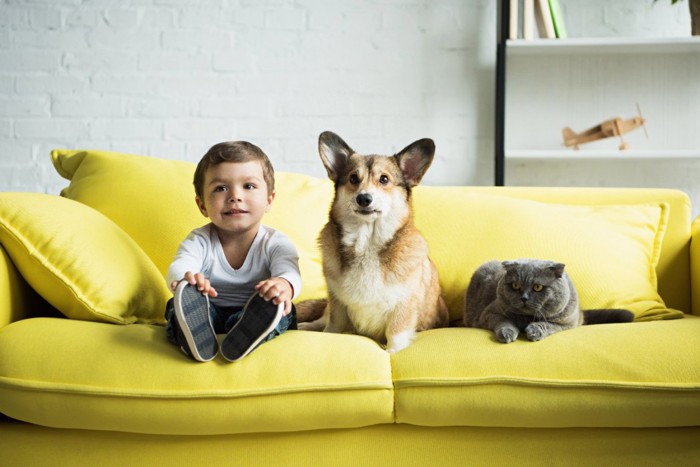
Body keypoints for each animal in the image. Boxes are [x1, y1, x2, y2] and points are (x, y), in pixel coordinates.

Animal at [300, 132, 448, 354]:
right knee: (320, 319)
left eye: (384, 179)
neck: (367, 242)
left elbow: (395, 335)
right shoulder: (337, 304)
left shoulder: (402, 306)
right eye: (353, 178)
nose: (363, 199)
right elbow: (332, 327)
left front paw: (392, 353)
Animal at [464, 260, 636, 344]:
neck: (526, 318)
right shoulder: (490, 313)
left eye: (538, 287)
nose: (524, 298)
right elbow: (504, 322)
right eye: (515, 286)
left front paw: (534, 331)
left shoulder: (566, 322)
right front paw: (507, 334)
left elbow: (547, 324)